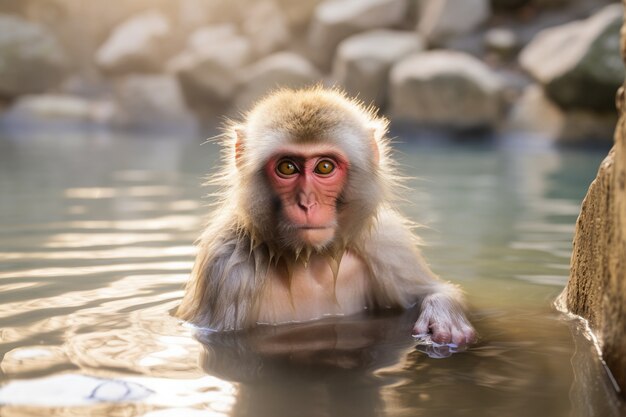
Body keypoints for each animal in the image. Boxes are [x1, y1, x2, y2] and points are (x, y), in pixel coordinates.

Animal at [176, 85, 472, 344]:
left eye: (324, 167)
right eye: (287, 167)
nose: (307, 203)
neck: (309, 259)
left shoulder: (386, 243)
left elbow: (433, 289)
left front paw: (442, 315)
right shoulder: (225, 264)